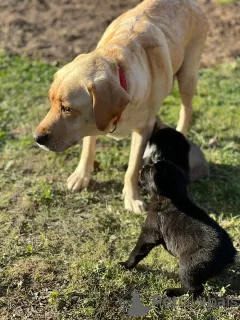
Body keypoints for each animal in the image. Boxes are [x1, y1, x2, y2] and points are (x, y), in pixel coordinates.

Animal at [33, 1, 208, 214]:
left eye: (67, 108)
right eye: (50, 102)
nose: (37, 138)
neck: (117, 63)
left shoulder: (142, 131)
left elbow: (132, 168)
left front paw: (132, 198)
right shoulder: (91, 124)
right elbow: (88, 149)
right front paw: (81, 175)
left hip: (188, 75)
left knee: (186, 109)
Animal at [119, 162, 235, 298]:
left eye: (150, 169)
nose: (143, 166)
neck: (173, 197)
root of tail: (230, 252)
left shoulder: (149, 233)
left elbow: (137, 251)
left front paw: (126, 264)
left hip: (189, 265)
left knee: (194, 288)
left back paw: (172, 291)